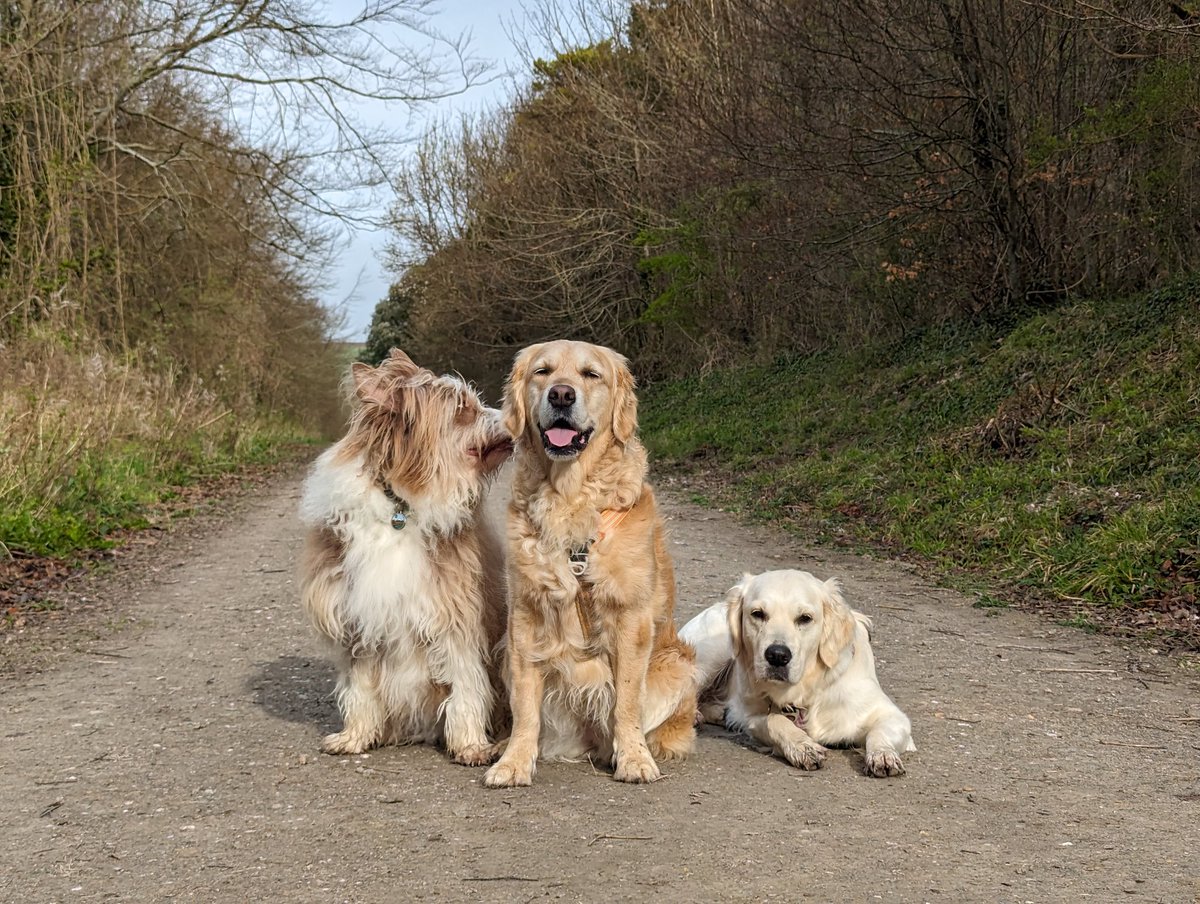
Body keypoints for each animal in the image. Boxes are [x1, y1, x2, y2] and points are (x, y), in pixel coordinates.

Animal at [298, 348, 511, 763]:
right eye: (462, 408)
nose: (515, 417)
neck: (402, 506)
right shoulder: (359, 618)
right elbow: (360, 686)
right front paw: (355, 735)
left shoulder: (456, 613)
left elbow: (465, 683)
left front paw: (470, 744)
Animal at [482, 338, 700, 782]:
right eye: (543, 371)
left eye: (591, 374)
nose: (562, 395)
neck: (569, 496)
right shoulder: (524, 617)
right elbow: (524, 707)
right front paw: (514, 761)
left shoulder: (631, 619)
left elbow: (627, 701)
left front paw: (634, 758)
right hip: (502, 649)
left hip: (678, 666)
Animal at [681, 571, 912, 777]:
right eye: (757, 613)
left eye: (805, 618)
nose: (777, 655)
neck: (807, 691)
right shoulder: (749, 717)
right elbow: (774, 720)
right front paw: (803, 747)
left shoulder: (892, 715)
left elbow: (879, 732)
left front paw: (883, 756)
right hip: (711, 655)